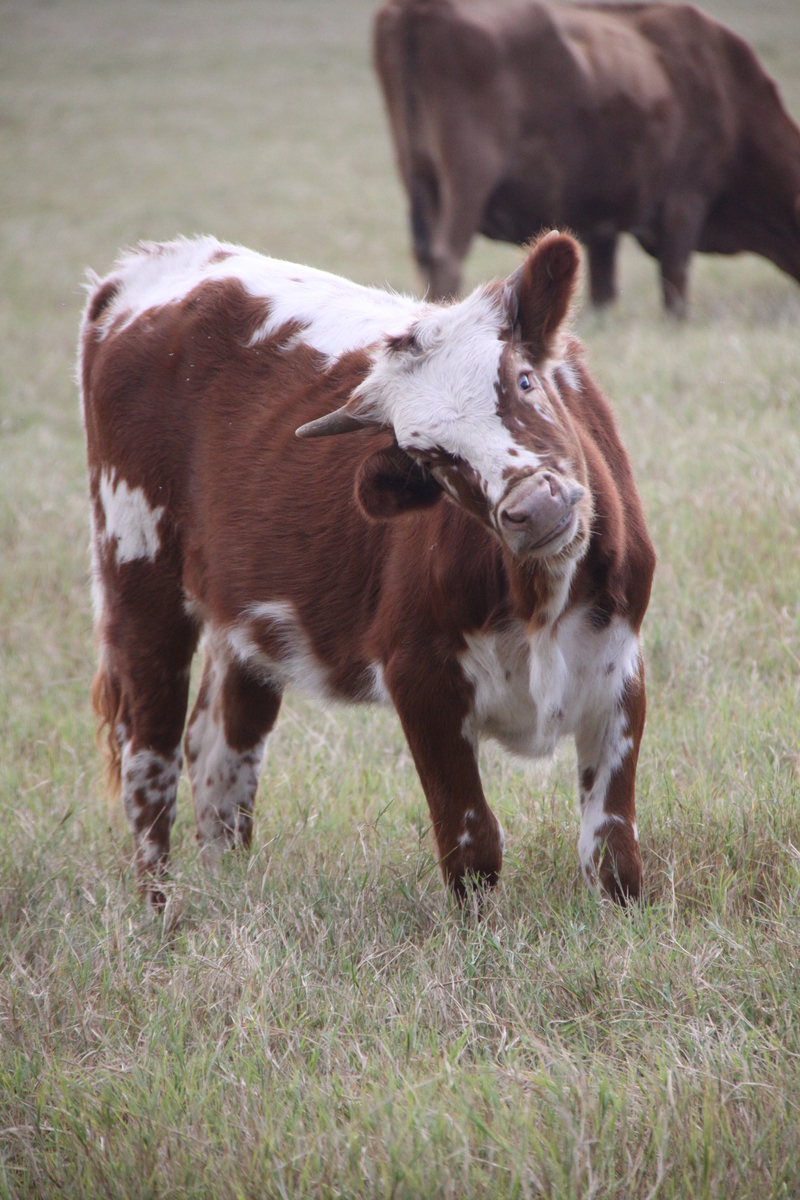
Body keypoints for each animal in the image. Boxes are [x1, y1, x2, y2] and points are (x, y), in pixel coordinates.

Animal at [79, 231, 657, 907]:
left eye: (522, 380)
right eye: (433, 460)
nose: (534, 506)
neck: (541, 596)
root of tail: (148, 269)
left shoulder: (619, 666)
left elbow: (611, 848)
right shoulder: (420, 677)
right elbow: (471, 841)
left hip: (243, 619)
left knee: (222, 753)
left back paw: (230, 892)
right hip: (137, 578)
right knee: (150, 757)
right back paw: (159, 911)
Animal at [374, 0, 800, 314]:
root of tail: (418, 9)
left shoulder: (602, 225)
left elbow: (603, 289)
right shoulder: (685, 202)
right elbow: (674, 283)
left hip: (419, 177)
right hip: (467, 181)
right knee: (447, 258)